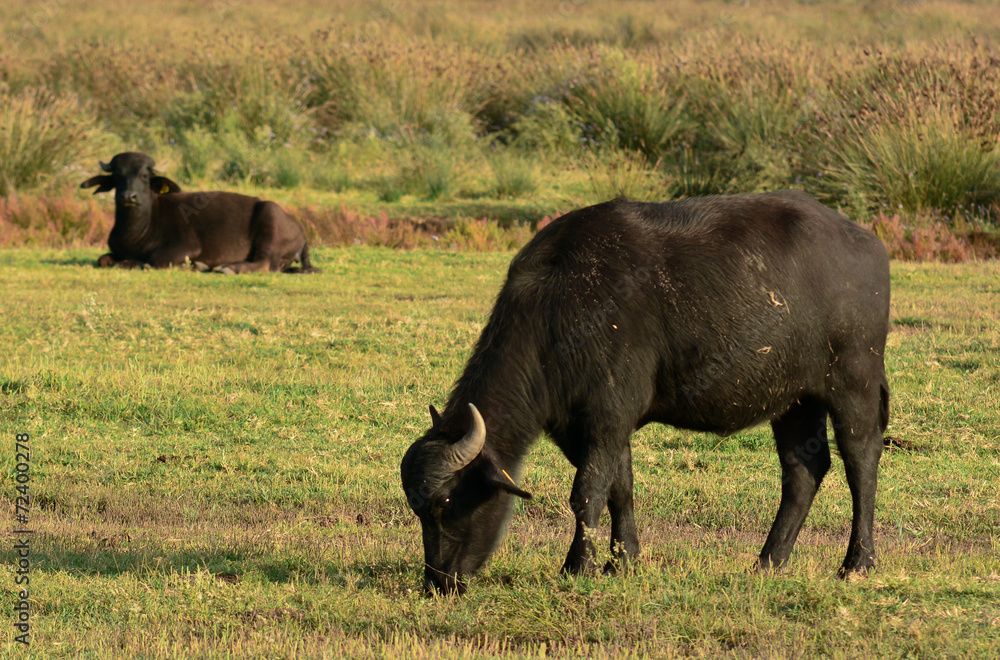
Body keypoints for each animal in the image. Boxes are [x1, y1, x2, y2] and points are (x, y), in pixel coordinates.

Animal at [84, 154, 314, 274]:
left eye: (143, 176)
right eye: (117, 176)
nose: (128, 196)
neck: (138, 230)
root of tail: (300, 231)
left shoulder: (185, 247)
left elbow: (155, 260)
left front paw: (196, 265)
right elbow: (103, 259)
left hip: (270, 218)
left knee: (265, 263)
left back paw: (227, 268)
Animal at [398, 189, 892, 592]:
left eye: (446, 502)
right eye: (417, 510)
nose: (438, 581)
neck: (557, 308)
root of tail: (867, 243)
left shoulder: (608, 416)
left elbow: (587, 493)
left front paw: (577, 566)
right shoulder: (590, 427)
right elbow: (621, 488)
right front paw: (624, 561)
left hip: (854, 382)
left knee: (861, 461)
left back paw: (857, 563)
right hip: (795, 400)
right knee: (803, 471)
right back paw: (768, 562)